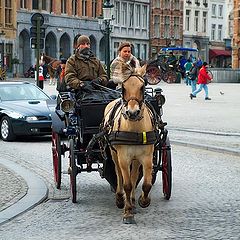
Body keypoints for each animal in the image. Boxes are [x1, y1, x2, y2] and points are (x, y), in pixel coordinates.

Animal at [102, 64, 158, 225]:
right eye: (123, 88)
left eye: (142, 86)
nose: (132, 113)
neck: (134, 129)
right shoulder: (123, 157)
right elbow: (126, 184)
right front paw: (127, 213)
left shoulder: (146, 157)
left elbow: (145, 184)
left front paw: (143, 201)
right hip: (115, 155)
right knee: (119, 174)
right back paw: (120, 198)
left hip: (136, 158)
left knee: (134, 176)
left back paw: (132, 201)